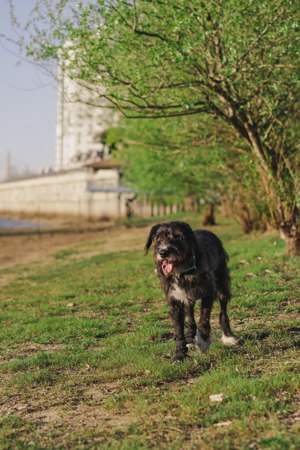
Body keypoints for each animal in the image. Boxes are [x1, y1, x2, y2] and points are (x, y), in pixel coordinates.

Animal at [144, 221, 238, 362]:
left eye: (178, 237)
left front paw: (203, 339)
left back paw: (228, 336)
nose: (163, 252)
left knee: (223, 310)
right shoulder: (175, 300)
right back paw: (190, 336)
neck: (182, 272)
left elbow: (204, 317)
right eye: (159, 237)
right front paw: (180, 353)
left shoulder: (209, 291)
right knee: (190, 313)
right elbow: (178, 329)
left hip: (222, 284)